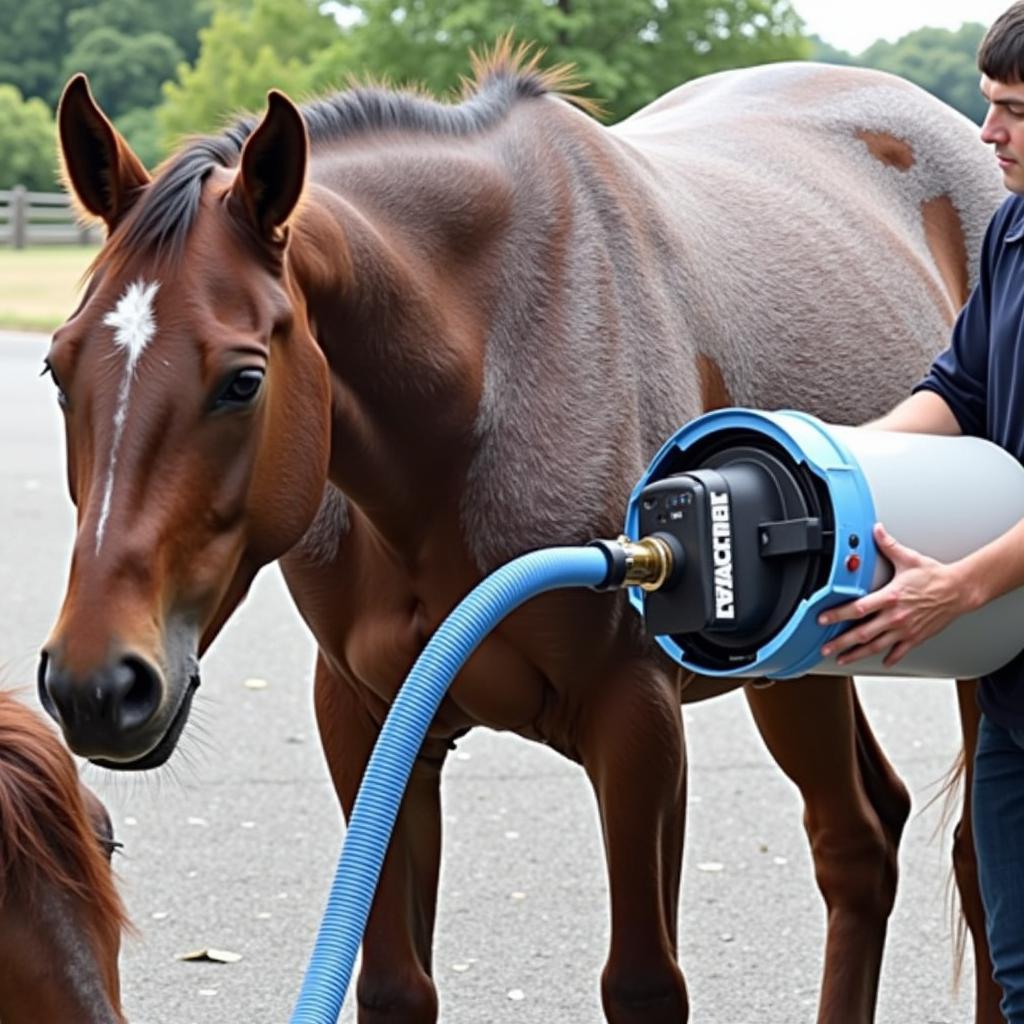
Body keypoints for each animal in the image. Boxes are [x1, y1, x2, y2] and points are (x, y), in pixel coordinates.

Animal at [44, 49, 1003, 1024]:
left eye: (242, 381)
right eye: (56, 368)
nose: (96, 685)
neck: (481, 387)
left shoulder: (636, 721)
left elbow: (644, 984)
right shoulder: (369, 720)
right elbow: (393, 986)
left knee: (973, 858)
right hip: (796, 667)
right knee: (858, 840)